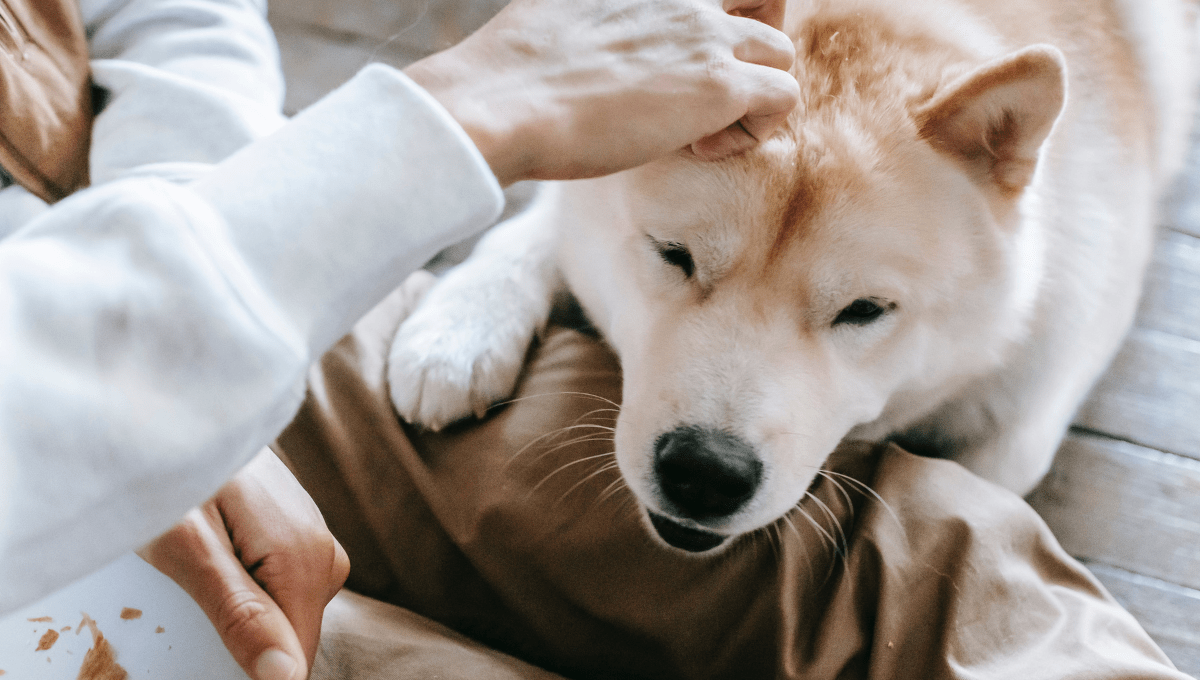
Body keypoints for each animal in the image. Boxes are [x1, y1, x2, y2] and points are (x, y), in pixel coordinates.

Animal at [388, 0, 1195, 554]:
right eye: (672, 254)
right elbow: (537, 227)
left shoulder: (1021, 420)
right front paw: (459, 329)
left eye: (865, 310)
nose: (705, 472)